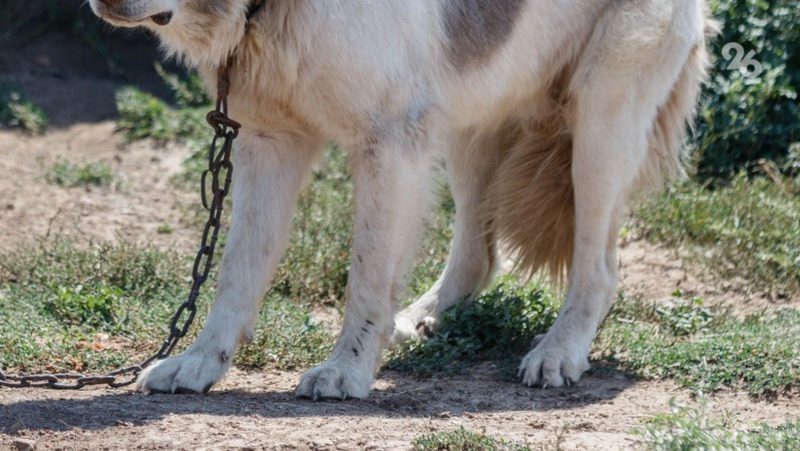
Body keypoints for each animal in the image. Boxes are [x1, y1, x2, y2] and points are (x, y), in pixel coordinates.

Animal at [89, 1, 712, 400]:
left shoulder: (387, 146)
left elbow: (366, 279)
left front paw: (346, 373)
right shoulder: (269, 141)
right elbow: (235, 274)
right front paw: (198, 366)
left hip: (599, 129)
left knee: (599, 269)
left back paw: (559, 351)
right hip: (471, 127)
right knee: (479, 255)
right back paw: (426, 316)